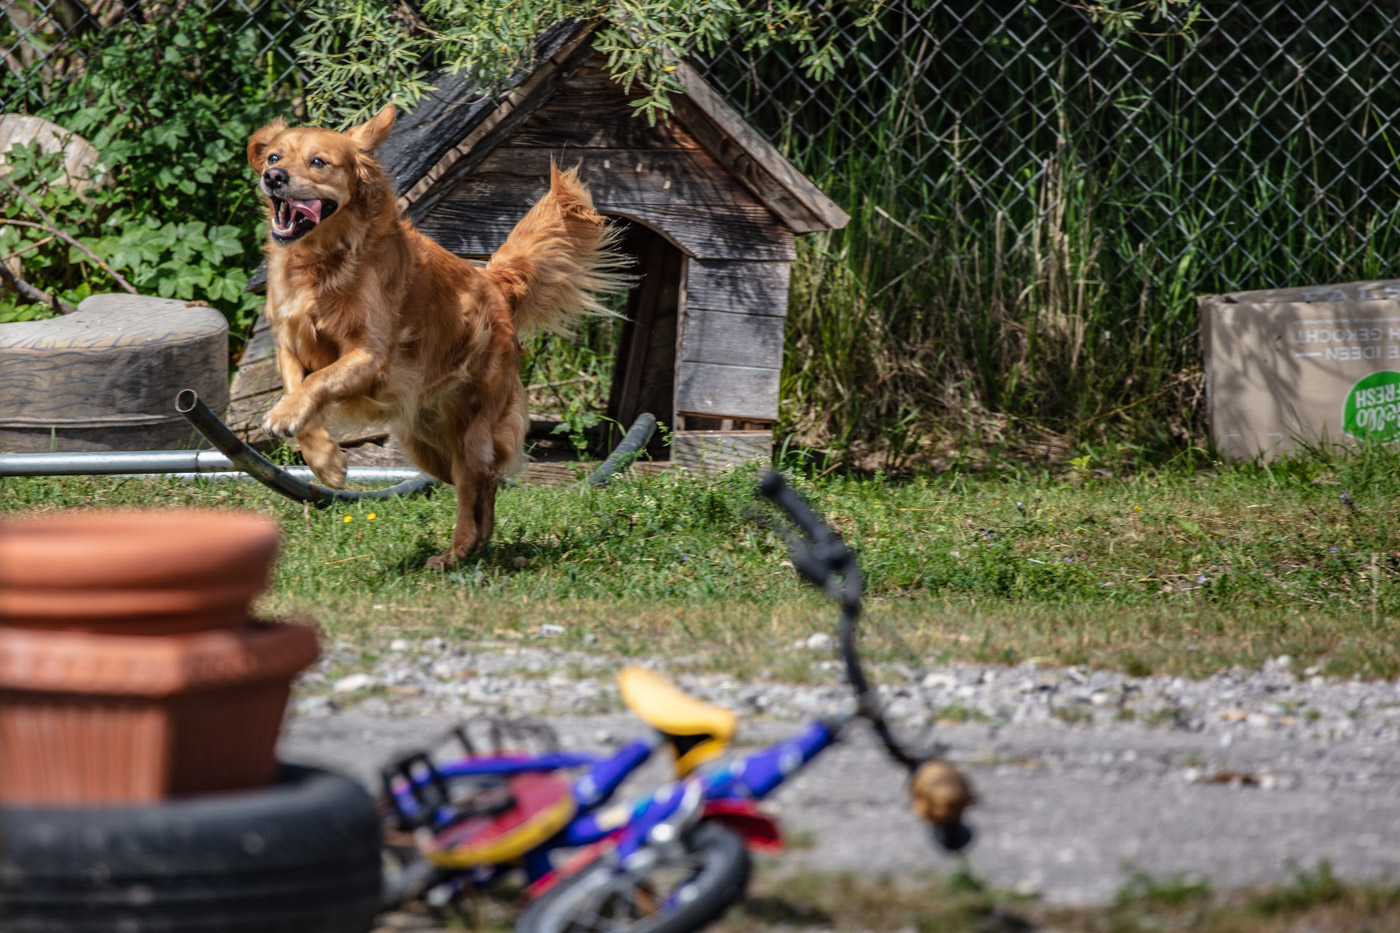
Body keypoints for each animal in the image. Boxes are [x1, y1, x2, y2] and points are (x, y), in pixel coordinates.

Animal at [249, 102, 627, 565]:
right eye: (274, 156)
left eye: (318, 162)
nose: (274, 177)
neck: (320, 262)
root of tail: (494, 282)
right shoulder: (289, 345)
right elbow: (298, 390)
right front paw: (324, 461)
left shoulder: (369, 356)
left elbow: (319, 380)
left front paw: (298, 431)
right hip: (426, 445)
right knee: (484, 486)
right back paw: (474, 545)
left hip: (471, 433)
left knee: (475, 483)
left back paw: (458, 552)